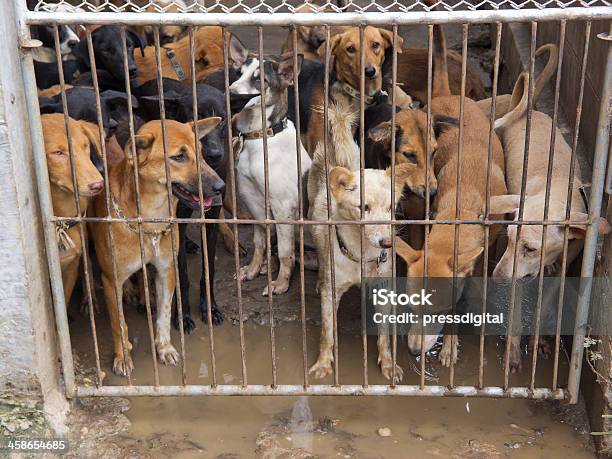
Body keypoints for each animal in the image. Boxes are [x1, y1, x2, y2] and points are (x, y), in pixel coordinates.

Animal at [89, 116, 224, 378]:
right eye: (179, 157)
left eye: (201, 152)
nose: (221, 186)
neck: (151, 218)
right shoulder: (111, 279)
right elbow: (119, 324)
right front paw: (123, 357)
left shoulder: (166, 271)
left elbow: (164, 313)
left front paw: (165, 348)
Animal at [232, 54, 314, 296]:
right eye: (237, 74)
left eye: (261, 80)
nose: (231, 93)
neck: (260, 137)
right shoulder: (254, 203)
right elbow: (260, 244)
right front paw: (252, 269)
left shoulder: (283, 207)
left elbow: (287, 254)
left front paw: (280, 284)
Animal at [308, 164, 414, 382]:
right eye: (364, 207)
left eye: (390, 208)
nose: (387, 243)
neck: (361, 255)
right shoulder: (331, 292)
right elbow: (327, 332)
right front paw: (323, 363)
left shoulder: (384, 290)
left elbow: (384, 336)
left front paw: (388, 364)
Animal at [488, 52, 612, 372]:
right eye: (510, 239)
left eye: (531, 248)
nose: (496, 278)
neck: (553, 191)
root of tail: (530, 111)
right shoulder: (515, 270)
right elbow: (516, 310)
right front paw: (513, 354)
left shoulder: (567, 258)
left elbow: (546, 304)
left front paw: (540, 341)